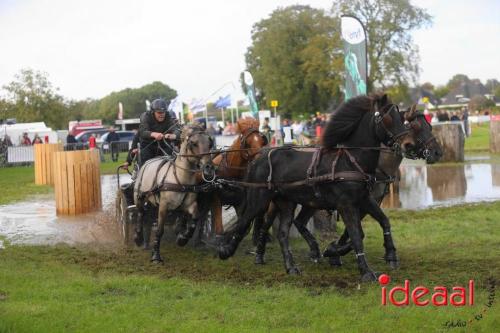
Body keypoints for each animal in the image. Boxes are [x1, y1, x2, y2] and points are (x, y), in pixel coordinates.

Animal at [219, 93, 414, 280]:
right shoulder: (346, 204)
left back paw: (291, 266)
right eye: (387, 119)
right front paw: (365, 271)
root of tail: (258, 157)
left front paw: (390, 255)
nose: (408, 144)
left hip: (286, 202)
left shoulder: (365, 199)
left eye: (402, 118)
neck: (350, 161)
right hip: (260, 199)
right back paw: (227, 251)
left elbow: (383, 222)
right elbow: (357, 235)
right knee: (245, 222)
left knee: (282, 233)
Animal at [254, 105, 442, 268]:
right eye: (415, 126)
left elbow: (373, 224)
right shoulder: (353, 202)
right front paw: (334, 252)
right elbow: (354, 230)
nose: (437, 152)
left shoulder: (370, 200)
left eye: (429, 125)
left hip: (310, 201)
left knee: (299, 222)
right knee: (266, 223)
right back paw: (260, 252)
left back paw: (313, 251)